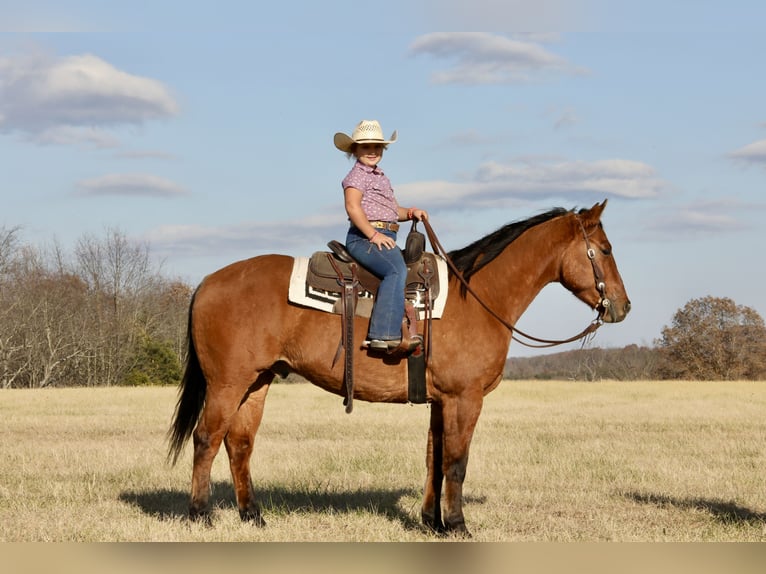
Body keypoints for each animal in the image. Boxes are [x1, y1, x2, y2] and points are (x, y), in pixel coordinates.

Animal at [168, 200, 630, 536]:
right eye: (605, 250)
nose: (623, 307)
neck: (477, 296)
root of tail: (208, 282)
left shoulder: (441, 401)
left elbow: (434, 459)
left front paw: (432, 523)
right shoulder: (465, 399)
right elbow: (456, 462)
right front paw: (458, 525)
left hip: (257, 382)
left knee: (239, 444)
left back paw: (253, 516)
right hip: (227, 383)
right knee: (206, 439)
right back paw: (200, 515)